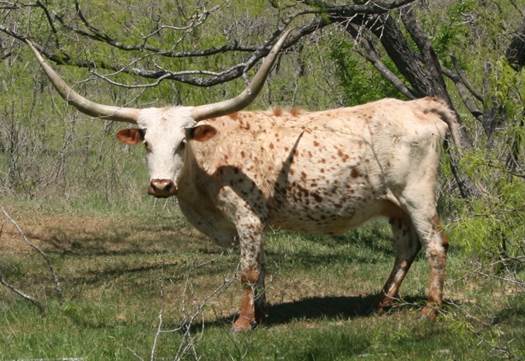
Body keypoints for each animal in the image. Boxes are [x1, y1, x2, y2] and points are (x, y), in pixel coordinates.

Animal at [27, 29, 454, 330]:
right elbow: (259, 264)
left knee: (435, 245)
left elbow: (247, 269)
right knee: (406, 247)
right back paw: (383, 302)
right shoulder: (248, 224)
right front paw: (261, 313)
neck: (208, 165)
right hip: (393, 205)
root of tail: (420, 105)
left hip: (417, 195)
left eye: (183, 141)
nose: (161, 185)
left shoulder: (247, 218)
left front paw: (243, 322)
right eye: (146, 142)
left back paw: (430, 311)